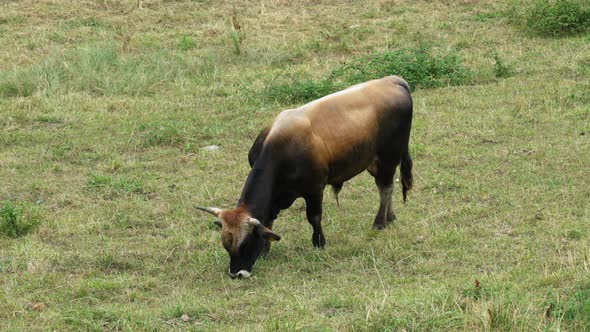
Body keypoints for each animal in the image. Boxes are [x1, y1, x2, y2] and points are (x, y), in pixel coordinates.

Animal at [197, 75, 414, 278]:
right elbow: (269, 220)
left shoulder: (315, 189)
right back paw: (390, 217)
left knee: (385, 189)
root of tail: (393, 80)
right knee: (386, 187)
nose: (236, 274)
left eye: (246, 243)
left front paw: (319, 243)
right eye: (226, 245)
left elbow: (314, 217)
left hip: (388, 157)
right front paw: (266, 250)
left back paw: (379, 223)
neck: (280, 149)